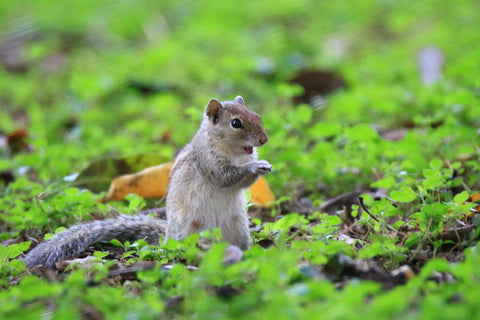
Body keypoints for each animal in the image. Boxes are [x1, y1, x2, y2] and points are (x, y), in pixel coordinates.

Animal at [22, 96, 272, 268]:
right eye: (236, 123)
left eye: (256, 115)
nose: (264, 139)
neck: (233, 151)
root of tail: (167, 239)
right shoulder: (207, 161)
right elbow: (224, 177)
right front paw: (254, 167)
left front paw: (264, 166)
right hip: (194, 231)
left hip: (238, 229)